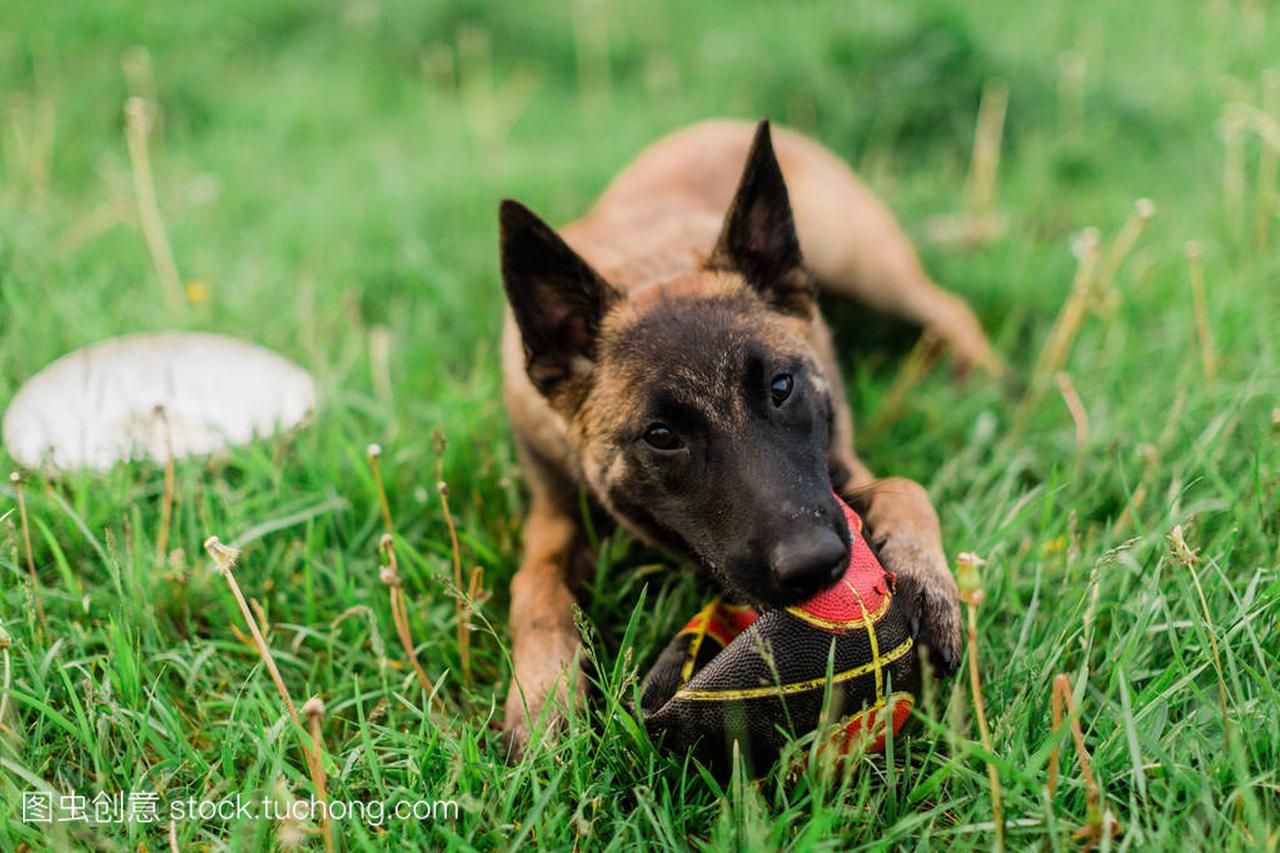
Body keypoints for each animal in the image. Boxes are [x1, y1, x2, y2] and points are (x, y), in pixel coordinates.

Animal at [494, 116, 993, 753]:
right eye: (661, 435)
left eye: (781, 386)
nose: (817, 566)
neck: (652, 267)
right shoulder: (553, 514)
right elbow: (535, 586)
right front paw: (543, 694)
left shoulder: (840, 469)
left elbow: (907, 486)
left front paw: (927, 579)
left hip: (866, 264)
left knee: (947, 306)